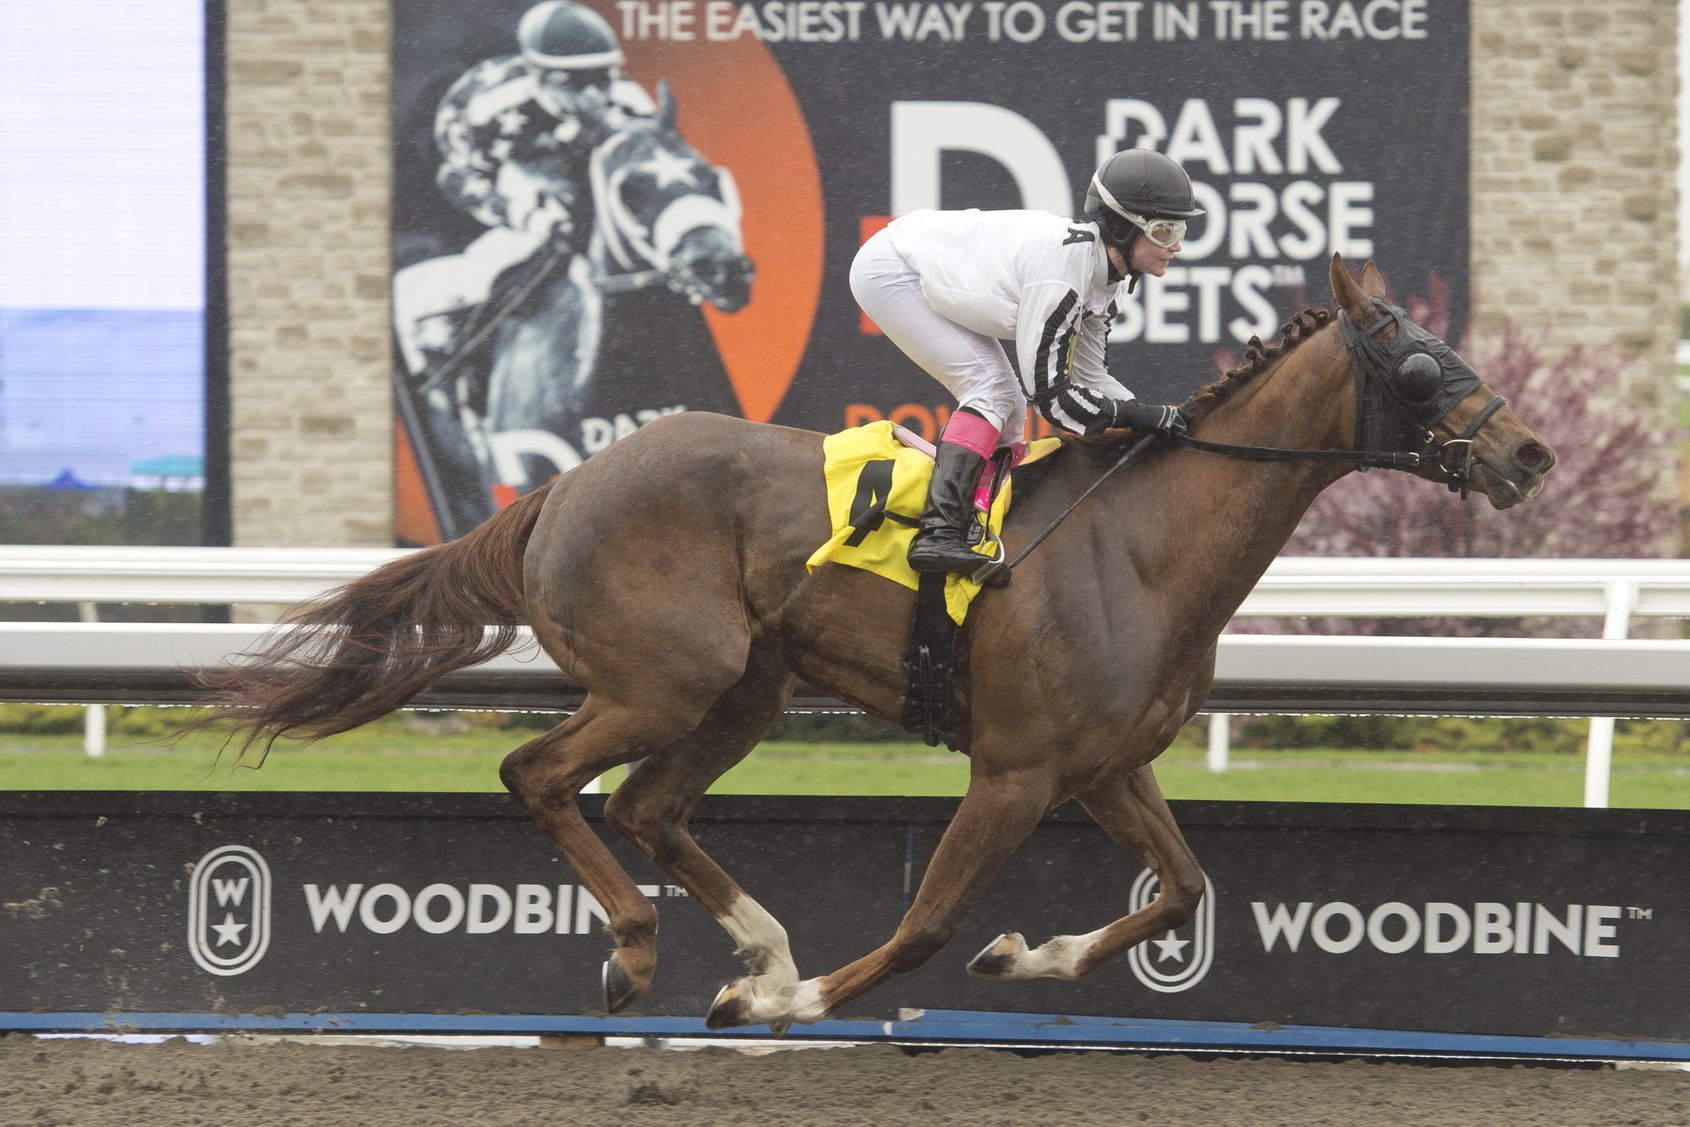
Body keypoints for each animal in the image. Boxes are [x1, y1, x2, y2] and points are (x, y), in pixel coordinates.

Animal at [199, 254, 1554, 1032]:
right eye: (1422, 362)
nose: (1530, 453)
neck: (1142, 544)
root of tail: (562, 483)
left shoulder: (1106, 765)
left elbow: (1180, 888)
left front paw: (1025, 953)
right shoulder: (1013, 769)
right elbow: (923, 927)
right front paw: (793, 999)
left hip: (743, 690)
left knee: (645, 804)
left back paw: (752, 940)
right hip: (663, 676)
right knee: (541, 774)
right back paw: (646, 953)